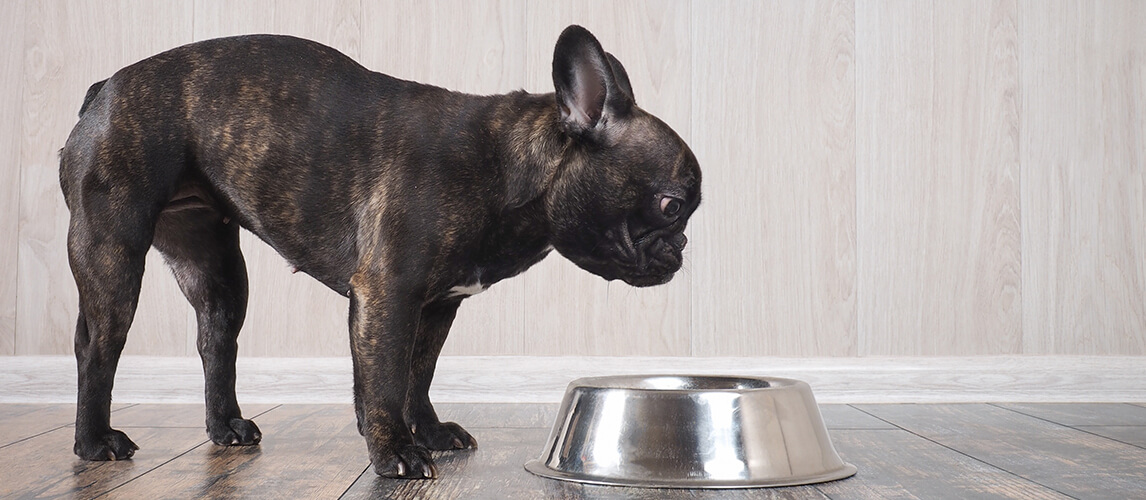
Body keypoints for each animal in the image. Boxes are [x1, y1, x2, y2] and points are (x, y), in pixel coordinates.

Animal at [62, 25, 696, 479]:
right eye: (670, 205)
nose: (683, 246)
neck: (506, 168)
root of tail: (103, 90)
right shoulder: (389, 294)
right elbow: (386, 375)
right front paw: (395, 451)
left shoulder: (437, 306)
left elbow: (419, 373)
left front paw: (429, 433)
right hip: (114, 252)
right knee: (97, 346)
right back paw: (94, 442)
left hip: (216, 268)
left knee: (215, 339)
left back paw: (227, 427)